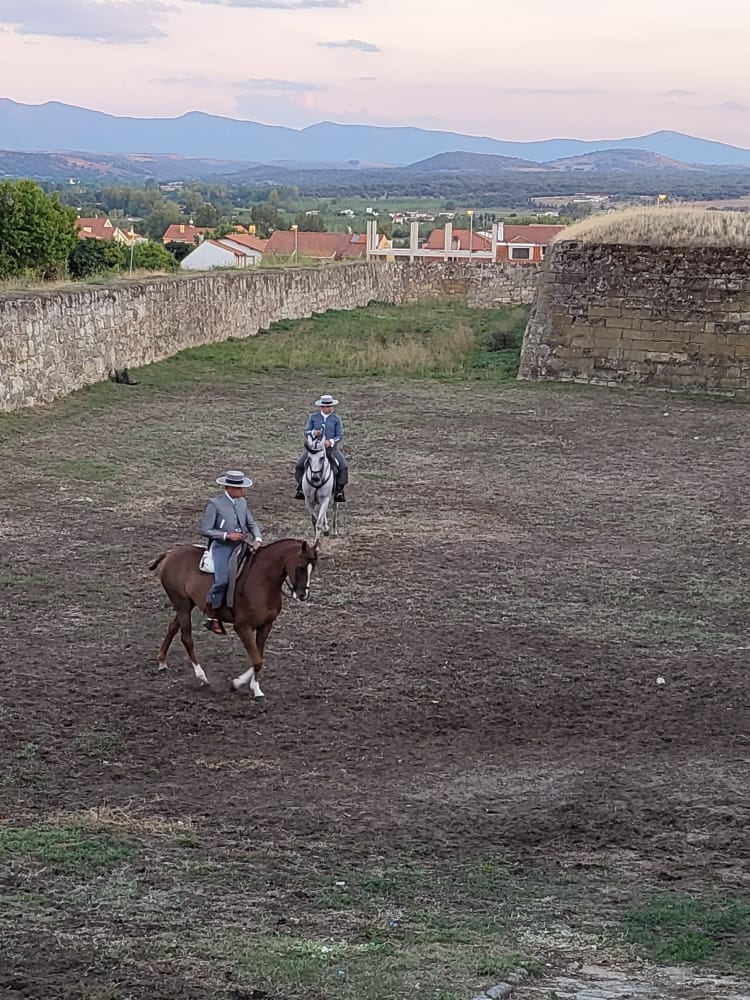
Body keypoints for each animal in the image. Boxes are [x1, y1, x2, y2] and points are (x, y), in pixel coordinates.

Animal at [150, 540, 318, 704]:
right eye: (301, 567)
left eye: (313, 567)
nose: (303, 595)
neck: (262, 580)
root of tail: (170, 553)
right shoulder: (242, 627)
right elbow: (257, 660)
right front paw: (236, 684)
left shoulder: (266, 626)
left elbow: (259, 657)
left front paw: (256, 690)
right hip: (183, 605)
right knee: (186, 638)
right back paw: (202, 677)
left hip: (186, 605)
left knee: (172, 627)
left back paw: (162, 662)